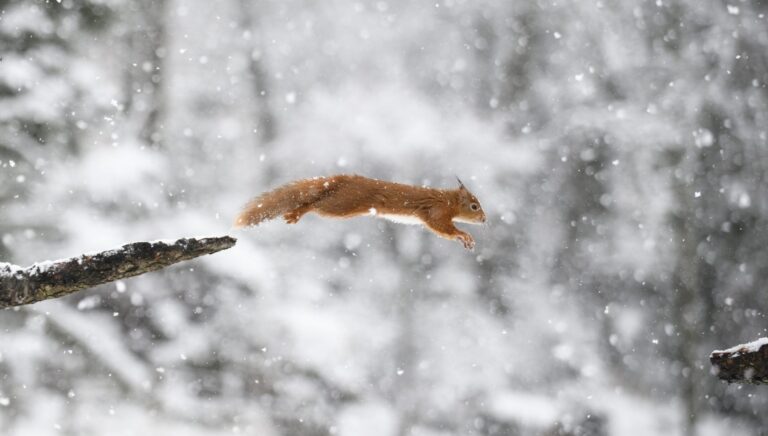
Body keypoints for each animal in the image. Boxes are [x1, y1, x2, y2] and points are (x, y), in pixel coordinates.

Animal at [234, 174, 486, 250]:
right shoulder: (436, 211)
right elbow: (442, 227)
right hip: (343, 204)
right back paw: (298, 212)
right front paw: (464, 236)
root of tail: (341, 179)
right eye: (474, 206)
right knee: (315, 204)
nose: (484, 219)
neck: (450, 201)